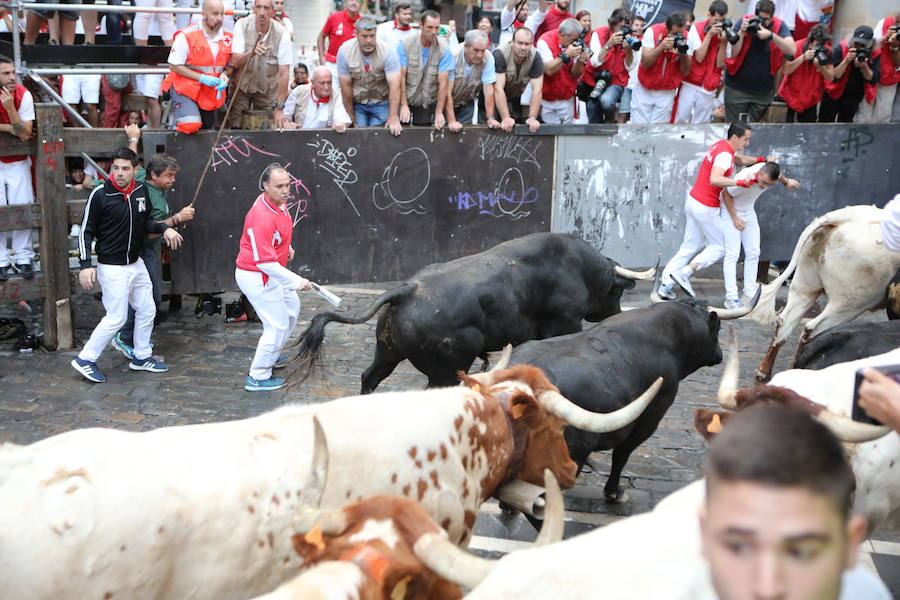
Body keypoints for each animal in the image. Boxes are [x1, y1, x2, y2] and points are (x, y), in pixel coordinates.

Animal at [296, 232, 652, 392]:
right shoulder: (565, 324)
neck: (577, 267)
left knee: (370, 376)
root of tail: (407, 289)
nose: (614, 311)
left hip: (387, 352)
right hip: (446, 370)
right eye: (618, 290)